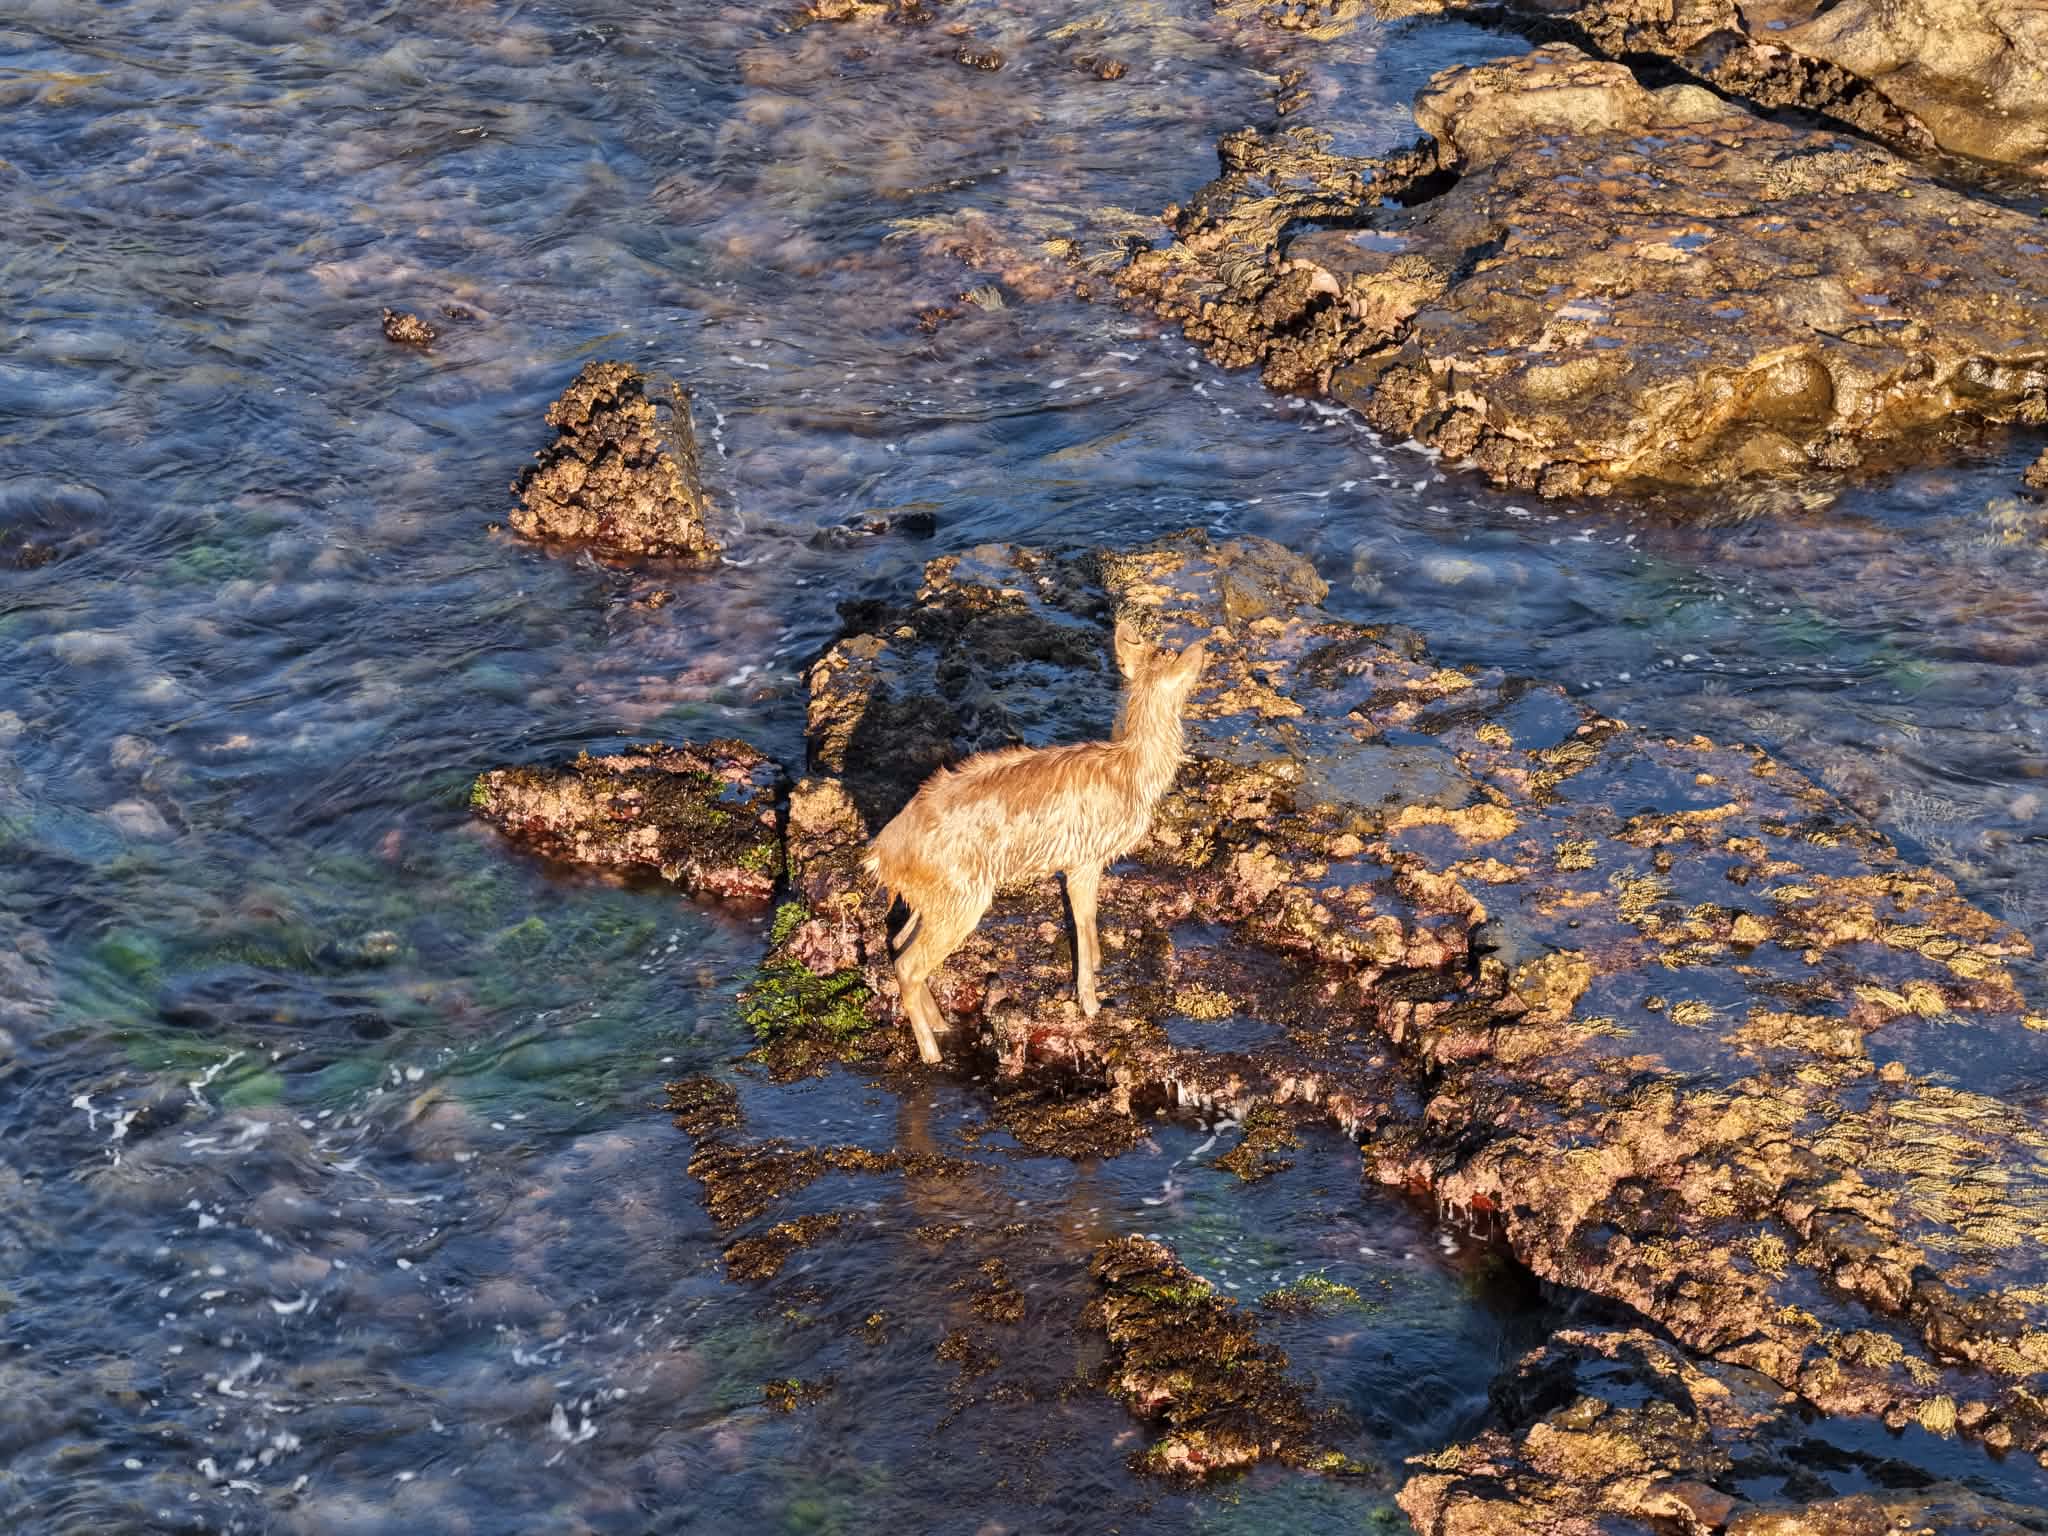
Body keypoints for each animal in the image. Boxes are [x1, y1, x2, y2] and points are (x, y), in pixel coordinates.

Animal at [863, 618, 1210, 1064]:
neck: (1132, 769)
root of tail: (880, 855)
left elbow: (1090, 919)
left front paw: (1099, 967)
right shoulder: (1083, 858)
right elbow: (1081, 919)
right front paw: (1091, 1003)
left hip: (933, 898)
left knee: (898, 943)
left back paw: (940, 1024)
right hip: (962, 898)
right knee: (909, 964)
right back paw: (932, 1053)